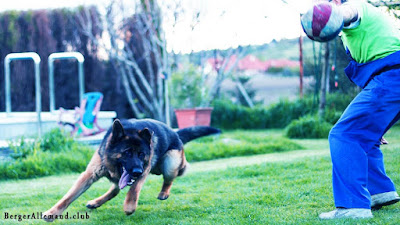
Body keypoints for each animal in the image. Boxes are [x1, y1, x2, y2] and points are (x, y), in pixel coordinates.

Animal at [42, 118, 220, 221]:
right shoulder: (89, 175)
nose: (137, 171)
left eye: (141, 154)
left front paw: (129, 207)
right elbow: (68, 197)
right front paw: (52, 213)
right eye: (127, 153)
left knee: (171, 177)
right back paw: (97, 201)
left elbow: (133, 190)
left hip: (169, 163)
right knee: (115, 189)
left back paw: (164, 192)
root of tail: (175, 133)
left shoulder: (144, 171)